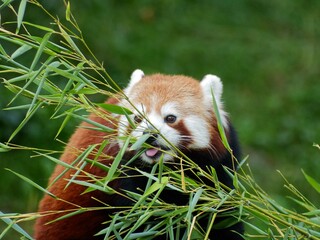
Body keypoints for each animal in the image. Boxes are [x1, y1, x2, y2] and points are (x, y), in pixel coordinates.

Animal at [33, 70, 244, 240]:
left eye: (170, 118)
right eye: (137, 118)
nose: (149, 134)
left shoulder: (219, 169)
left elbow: (224, 217)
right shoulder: (126, 176)